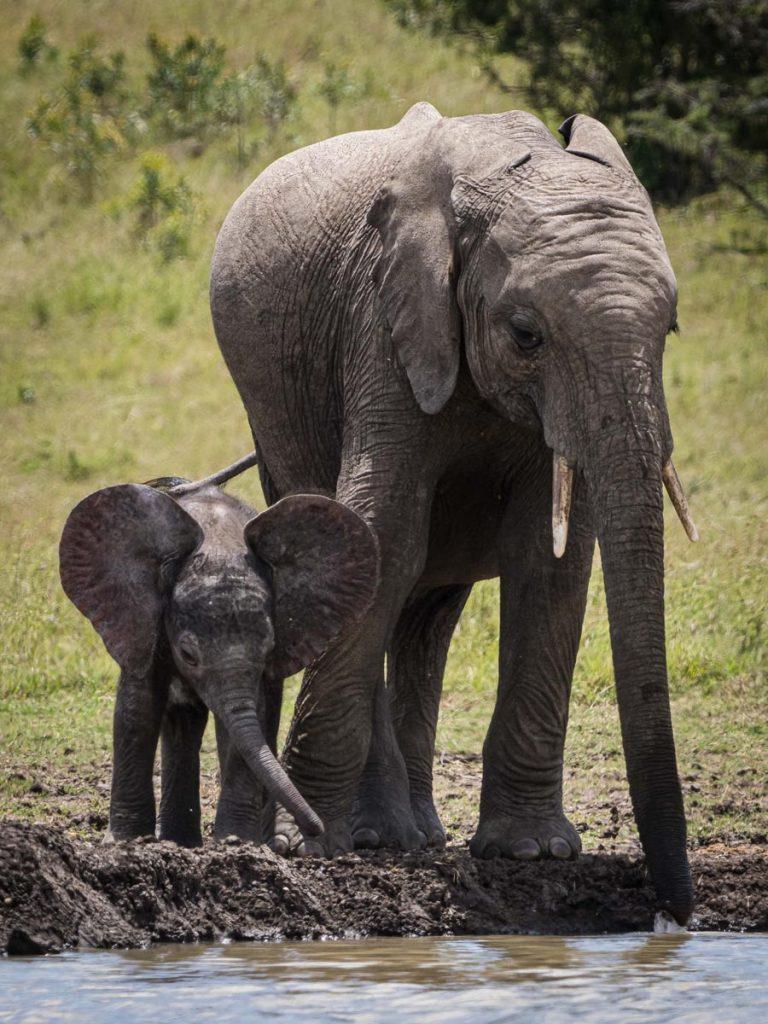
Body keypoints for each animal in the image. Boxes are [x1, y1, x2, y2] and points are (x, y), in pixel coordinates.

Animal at [58, 464, 379, 846]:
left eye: (269, 647)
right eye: (187, 654)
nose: (315, 828)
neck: (218, 542)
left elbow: (249, 720)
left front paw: (235, 842)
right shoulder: (141, 619)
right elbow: (137, 710)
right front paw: (126, 842)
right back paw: (179, 842)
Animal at [210, 102, 699, 923]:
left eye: (668, 330)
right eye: (526, 335)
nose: (675, 915)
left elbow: (550, 555)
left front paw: (532, 852)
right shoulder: (383, 325)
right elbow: (380, 529)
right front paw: (303, 846)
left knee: (427, 616)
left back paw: (414, 834)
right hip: (269, 405)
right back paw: (377, 837)